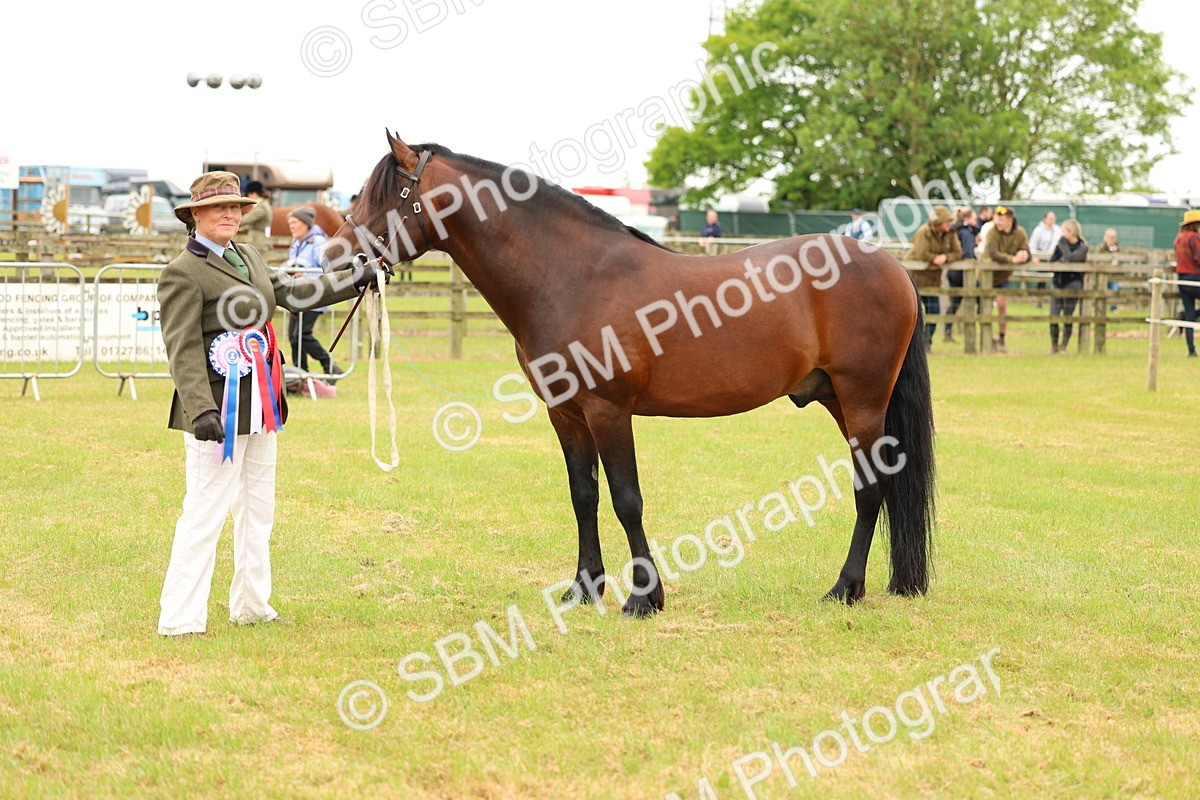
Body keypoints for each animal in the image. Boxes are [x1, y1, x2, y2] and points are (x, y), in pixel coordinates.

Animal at [326, 131, 935, 617]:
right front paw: (583, 589)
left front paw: (644, 597)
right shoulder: (566, 413)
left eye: (384, 196)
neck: (571, 276)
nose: (334, 260)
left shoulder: (608, 410)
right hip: (838, 399)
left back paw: (845, 588)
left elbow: (626, 499)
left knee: (869, 487)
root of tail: (892, 265)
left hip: (861, 399)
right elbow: (584, 497)